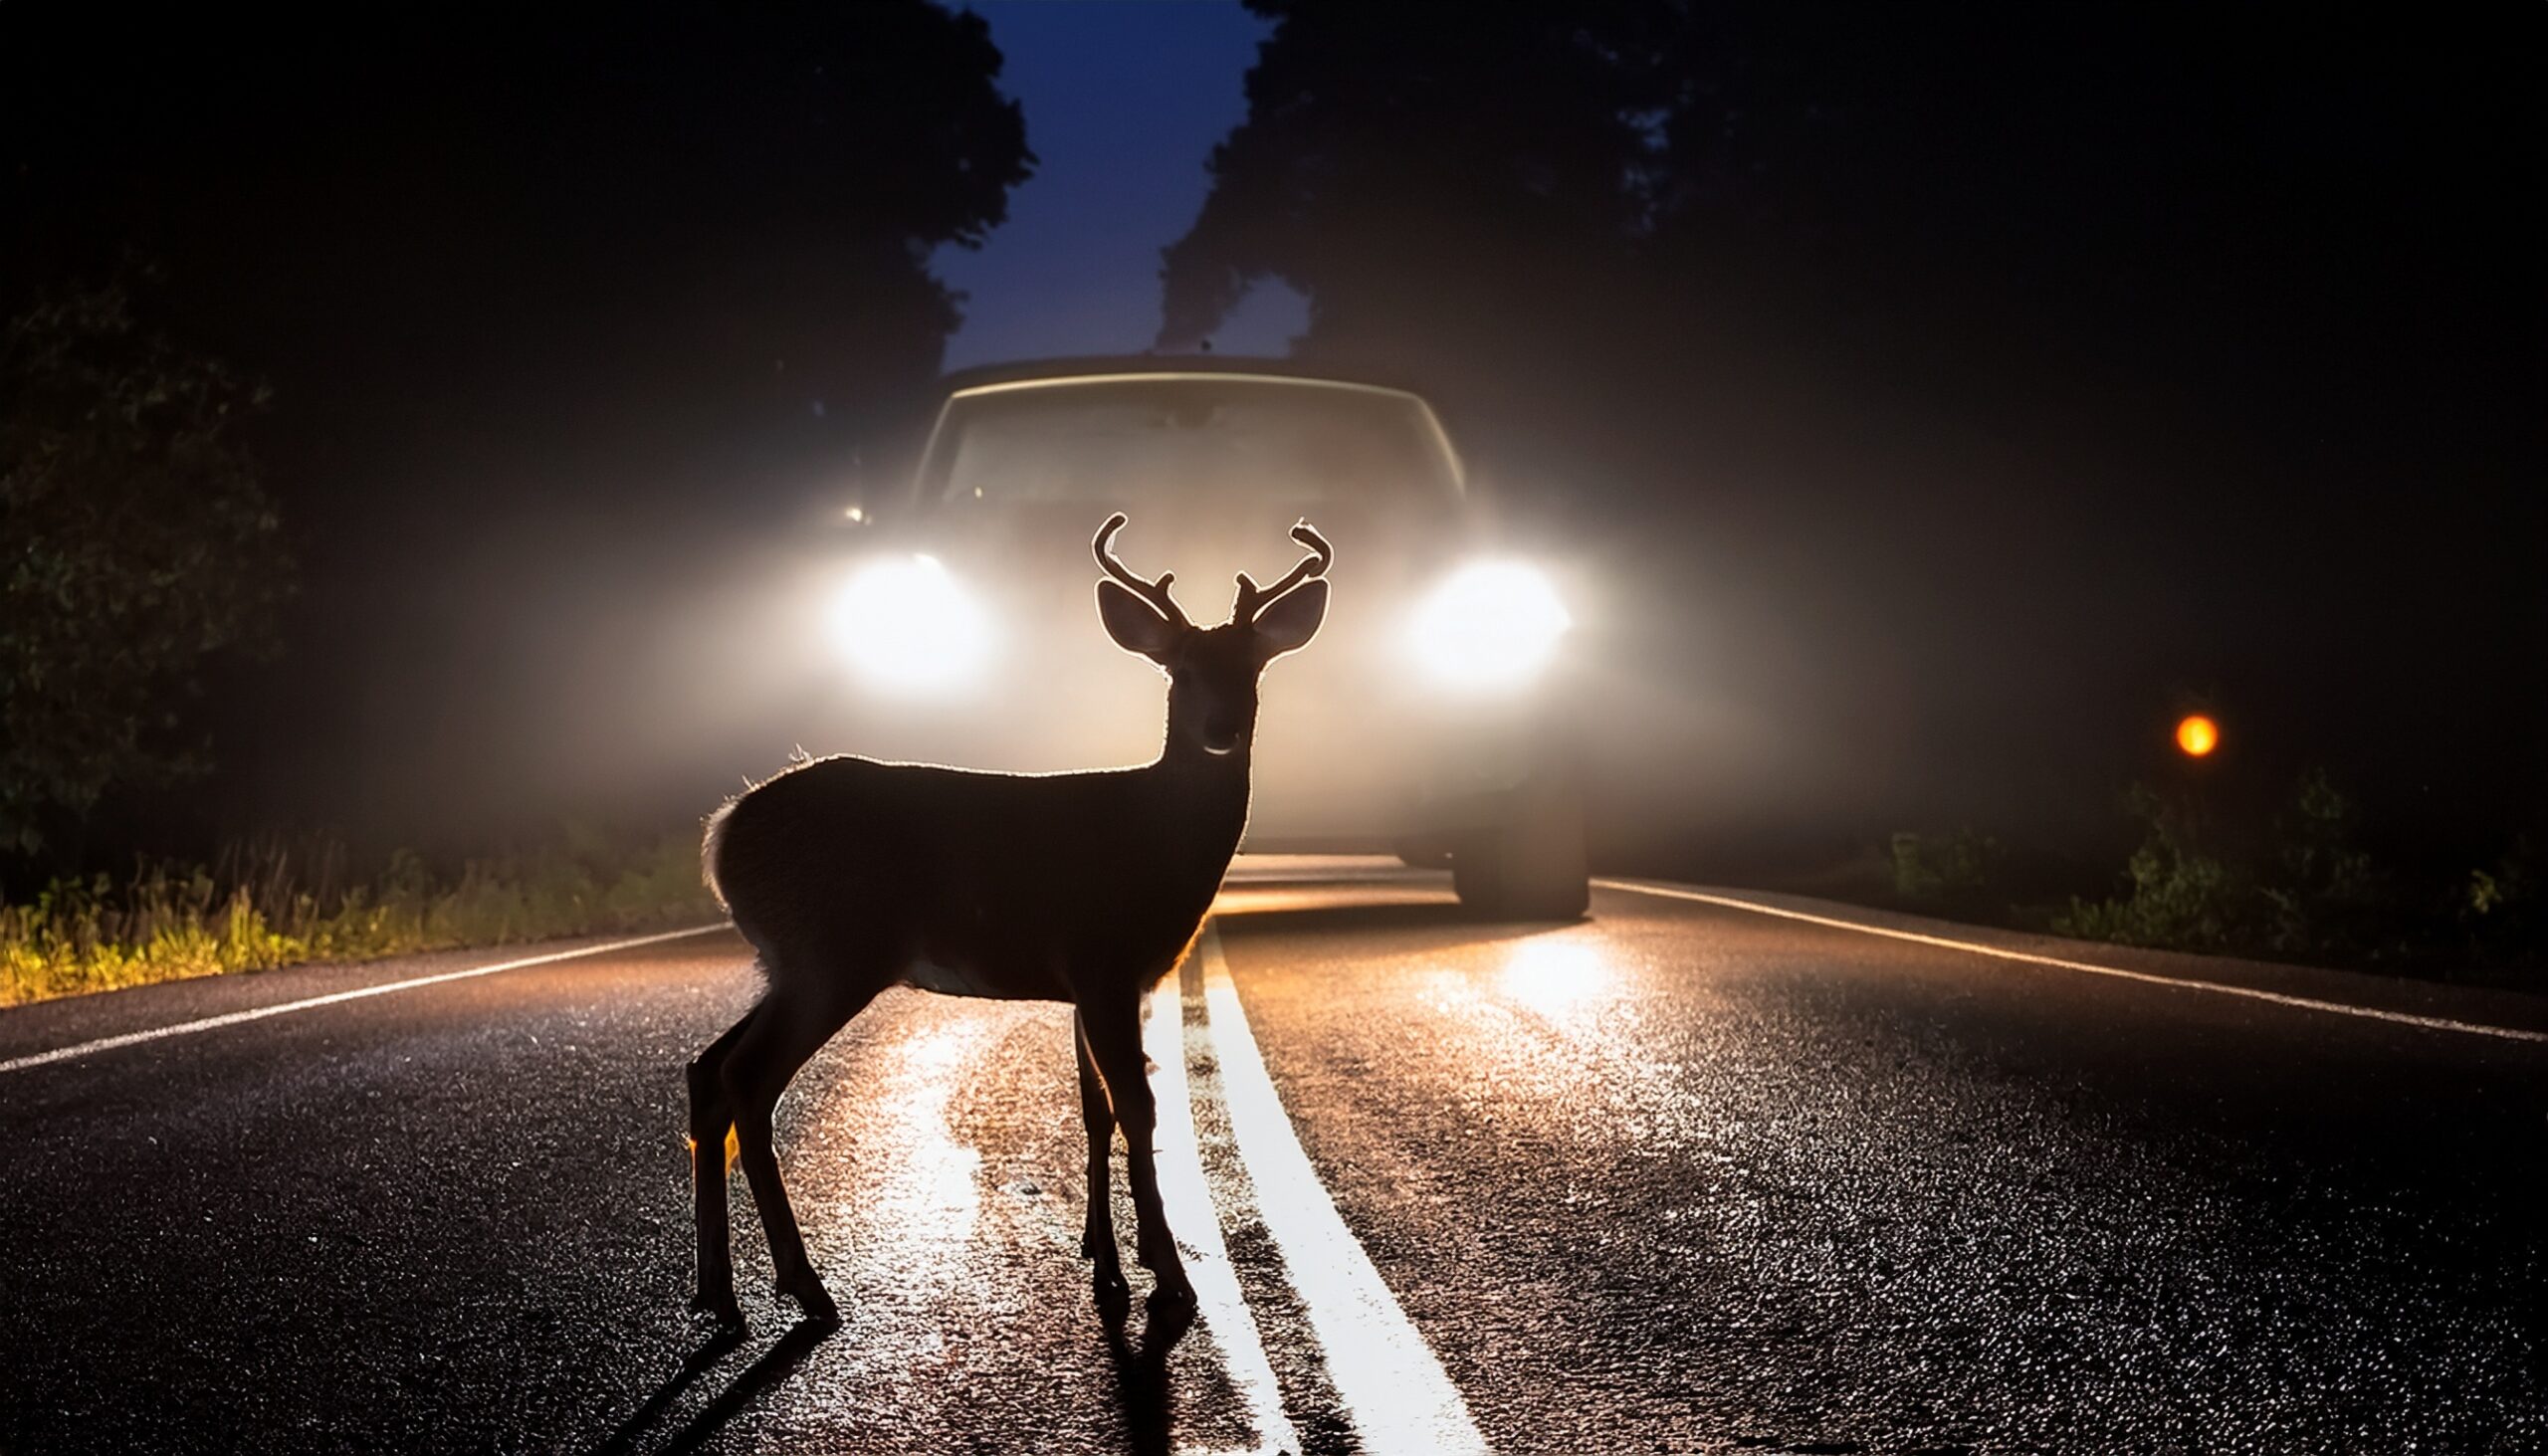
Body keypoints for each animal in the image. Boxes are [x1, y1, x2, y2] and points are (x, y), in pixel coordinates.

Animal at [687, 512, 1332, 1330]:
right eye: (1180, 670)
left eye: (1252, 668)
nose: (1220, 726)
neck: (1160, 838)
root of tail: (724, 832)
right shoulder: (1104, 959)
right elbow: (1139, 1108)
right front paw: (1169, 1276)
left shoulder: (1097, 982)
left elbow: (1097, 1111)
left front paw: (1105, 1262)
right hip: (832, 952)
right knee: (746, 1076)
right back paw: (805, 1287)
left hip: (791, 961)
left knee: (707, 1067)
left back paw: (717, 1290)